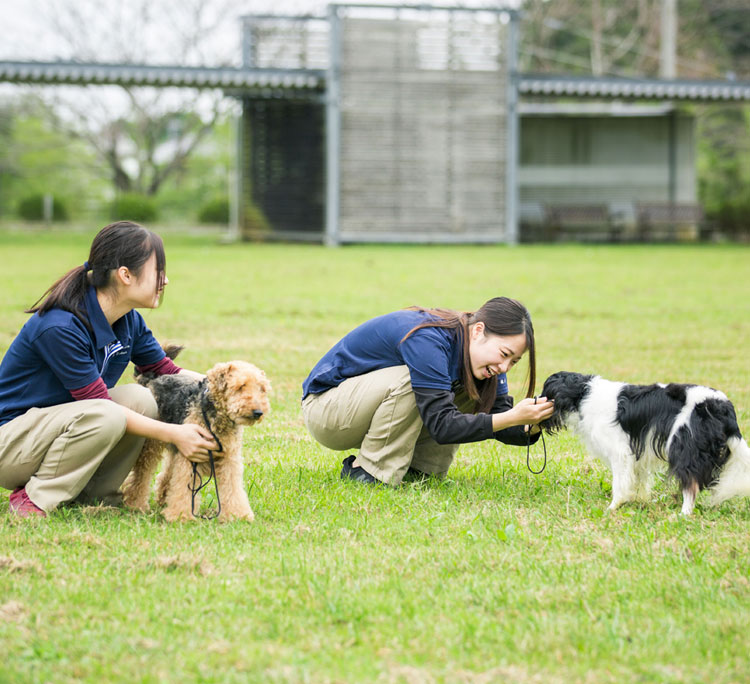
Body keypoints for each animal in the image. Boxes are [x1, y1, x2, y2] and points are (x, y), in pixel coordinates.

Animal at [544, 374, 748, 512]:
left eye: (546, 393)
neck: (583, 394)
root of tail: (724, 406)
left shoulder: (620, 452)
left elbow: (620, 483)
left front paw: (613, 507)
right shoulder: (637, 454)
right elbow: (638, 480)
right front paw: (639, 501)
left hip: (684, 446)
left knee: (691, 484)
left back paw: (683, 514)